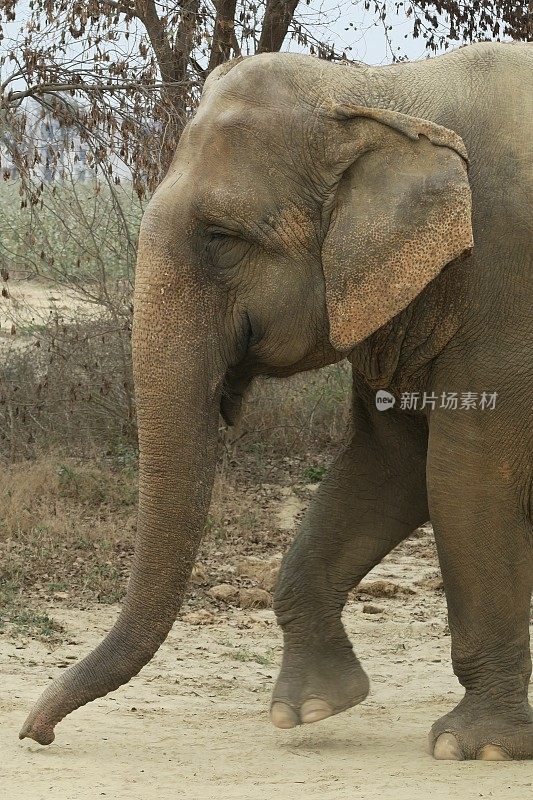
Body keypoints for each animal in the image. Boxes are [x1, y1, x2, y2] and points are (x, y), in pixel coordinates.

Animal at [20, 42, 532, 764]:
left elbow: (464, 480)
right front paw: (310, 708)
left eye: (220, 237)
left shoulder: (503, 293)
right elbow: (389, 465)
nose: (35, 733)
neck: (382, 93)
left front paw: (473, 748)